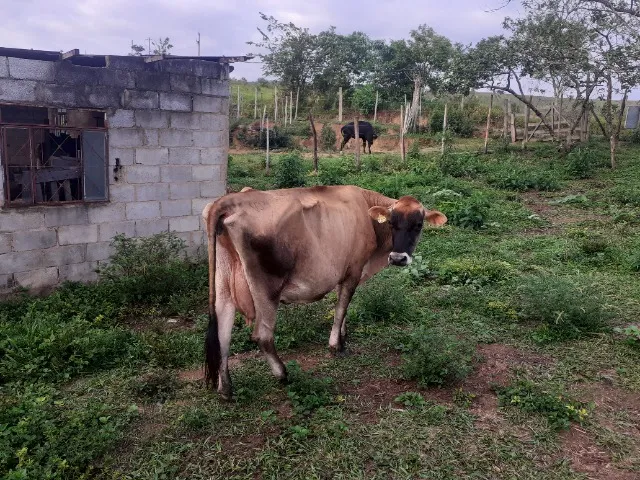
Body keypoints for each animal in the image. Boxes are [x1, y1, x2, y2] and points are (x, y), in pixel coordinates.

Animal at [202, 185, 447, 400]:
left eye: (418, 225)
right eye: (392, 223)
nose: (398, 258)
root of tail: (231, 200)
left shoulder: (344, 271)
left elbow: (344, 307)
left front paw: (343, 335)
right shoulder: (354, 270)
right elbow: (341, 307)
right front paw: (336, 345)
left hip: (223, 283)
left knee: (223, 332)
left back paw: (226, 389)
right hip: (267, 288)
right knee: (262, 335)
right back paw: (283, 374)